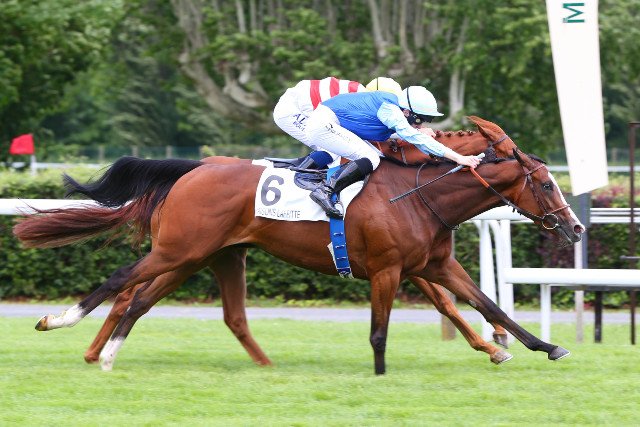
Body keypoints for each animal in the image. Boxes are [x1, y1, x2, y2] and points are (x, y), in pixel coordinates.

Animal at [14, 127, 583, 374]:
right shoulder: (389, 269)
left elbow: (489, 306)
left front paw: (541, 346)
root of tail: (194, 171)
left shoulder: (436, 264)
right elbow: (385, 328)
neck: (418, 193)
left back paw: (110, 353)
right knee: (121, 281)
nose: (576, 228)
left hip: (200, 255)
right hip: (178, 249)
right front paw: (380, 374)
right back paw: (60, 323)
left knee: (146, 300)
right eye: (546, 184)